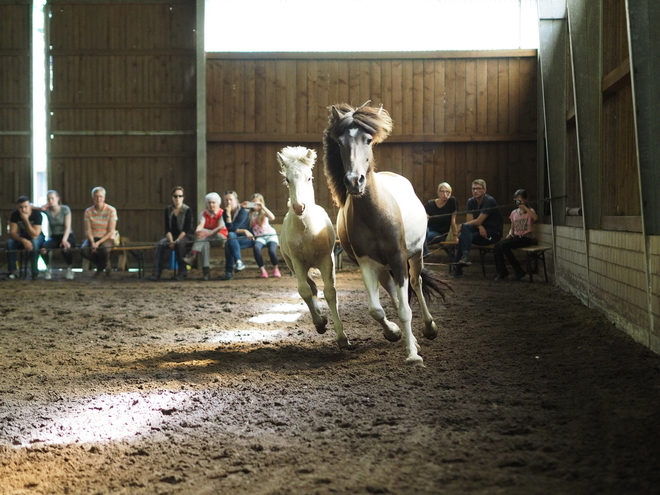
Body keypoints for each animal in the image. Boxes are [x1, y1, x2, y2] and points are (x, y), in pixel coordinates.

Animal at [278, 146, 350, 348]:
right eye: (287, 179)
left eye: (309, 177)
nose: (299, 207)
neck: (305, 228)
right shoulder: (297, 262)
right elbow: (304, 291)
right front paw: (320, 323)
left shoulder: (326, 260)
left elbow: (330, 292)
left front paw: (342, 337)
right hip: (295, 266)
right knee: (311, 288)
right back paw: (320, 320)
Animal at [322, 101, 446, 364]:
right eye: (340, 142)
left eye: (368, 140)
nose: (354, 181)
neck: (375, 214)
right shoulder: (367, 263)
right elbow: (376, 309)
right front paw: (394, 333)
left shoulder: (398, 258)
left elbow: (406, 308)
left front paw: (413, 355)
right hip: (382, 267)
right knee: (392, 291)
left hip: (415, 255)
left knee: (417, 283)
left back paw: (429, 328)